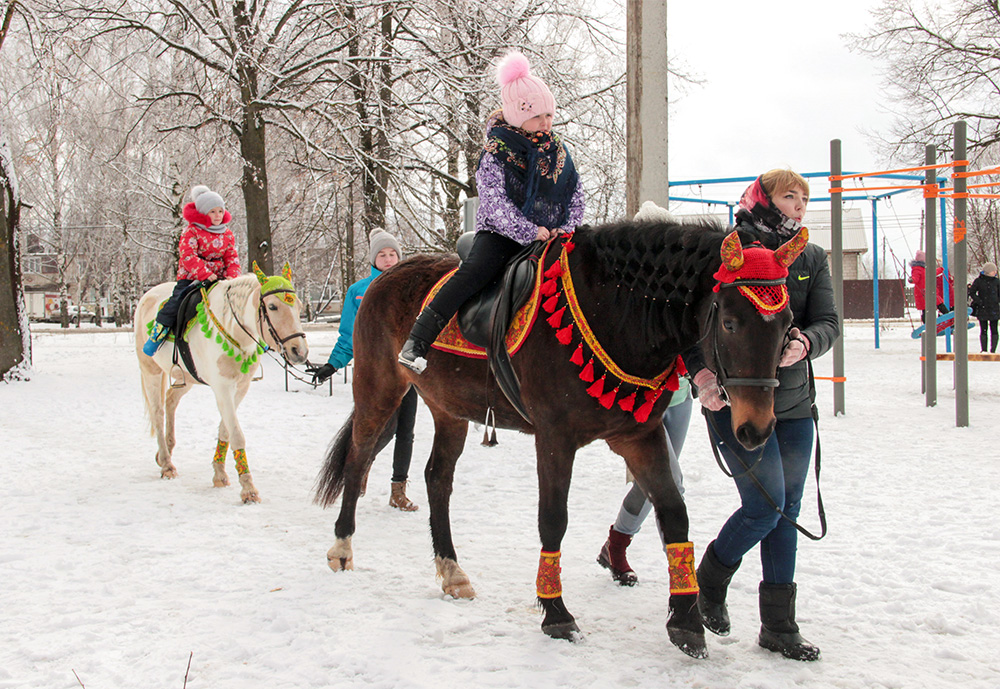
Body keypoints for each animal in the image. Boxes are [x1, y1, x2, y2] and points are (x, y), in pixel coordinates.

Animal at [135, 260, 308, 502]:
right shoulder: (222, 388)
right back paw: (167, 464)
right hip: (150, 371)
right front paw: (248, 489)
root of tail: (147, 295)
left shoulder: (240, 388)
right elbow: (236, 434)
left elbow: (225, 429)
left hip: (186, 377)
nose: (299, 351)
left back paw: (165, 452)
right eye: (273, 306)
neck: (234, 330)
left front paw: (219, 474)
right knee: (158, 413)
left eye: (299, 307)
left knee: (170, 400)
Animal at [316, 219, 808, 656]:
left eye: (787, 323)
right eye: (729, 322)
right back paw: (341, 547)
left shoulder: (639, 436)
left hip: (448, 408)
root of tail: (383, 277)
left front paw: (687, 620)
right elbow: (553, 519)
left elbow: (673, 514)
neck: (614, 311)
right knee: (358, 458)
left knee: (437, 478)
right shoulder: (554, 437)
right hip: (380, 388)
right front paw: (556, 614)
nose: (756, 429)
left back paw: (452, 570)